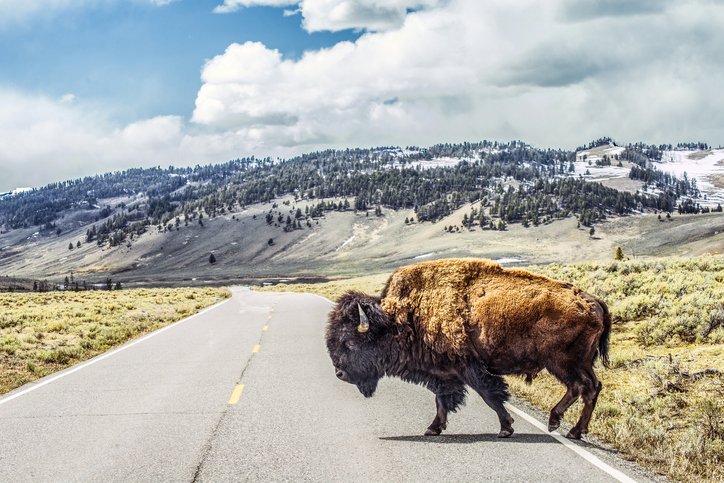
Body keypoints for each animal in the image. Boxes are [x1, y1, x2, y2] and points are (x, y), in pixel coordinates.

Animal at [328, 260, 612, 440]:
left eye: (349, 342)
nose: (339, 374)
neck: (402, 317)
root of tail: (593, 301)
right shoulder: (443, 373)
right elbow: (441, 399)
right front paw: (433, 428)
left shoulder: (469, 367)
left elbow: (490, 395)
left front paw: (505, 428)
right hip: (580, 363)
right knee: (591, 388)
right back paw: (573, 430)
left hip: (563, 362)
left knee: (581, 387)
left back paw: (560, 425)